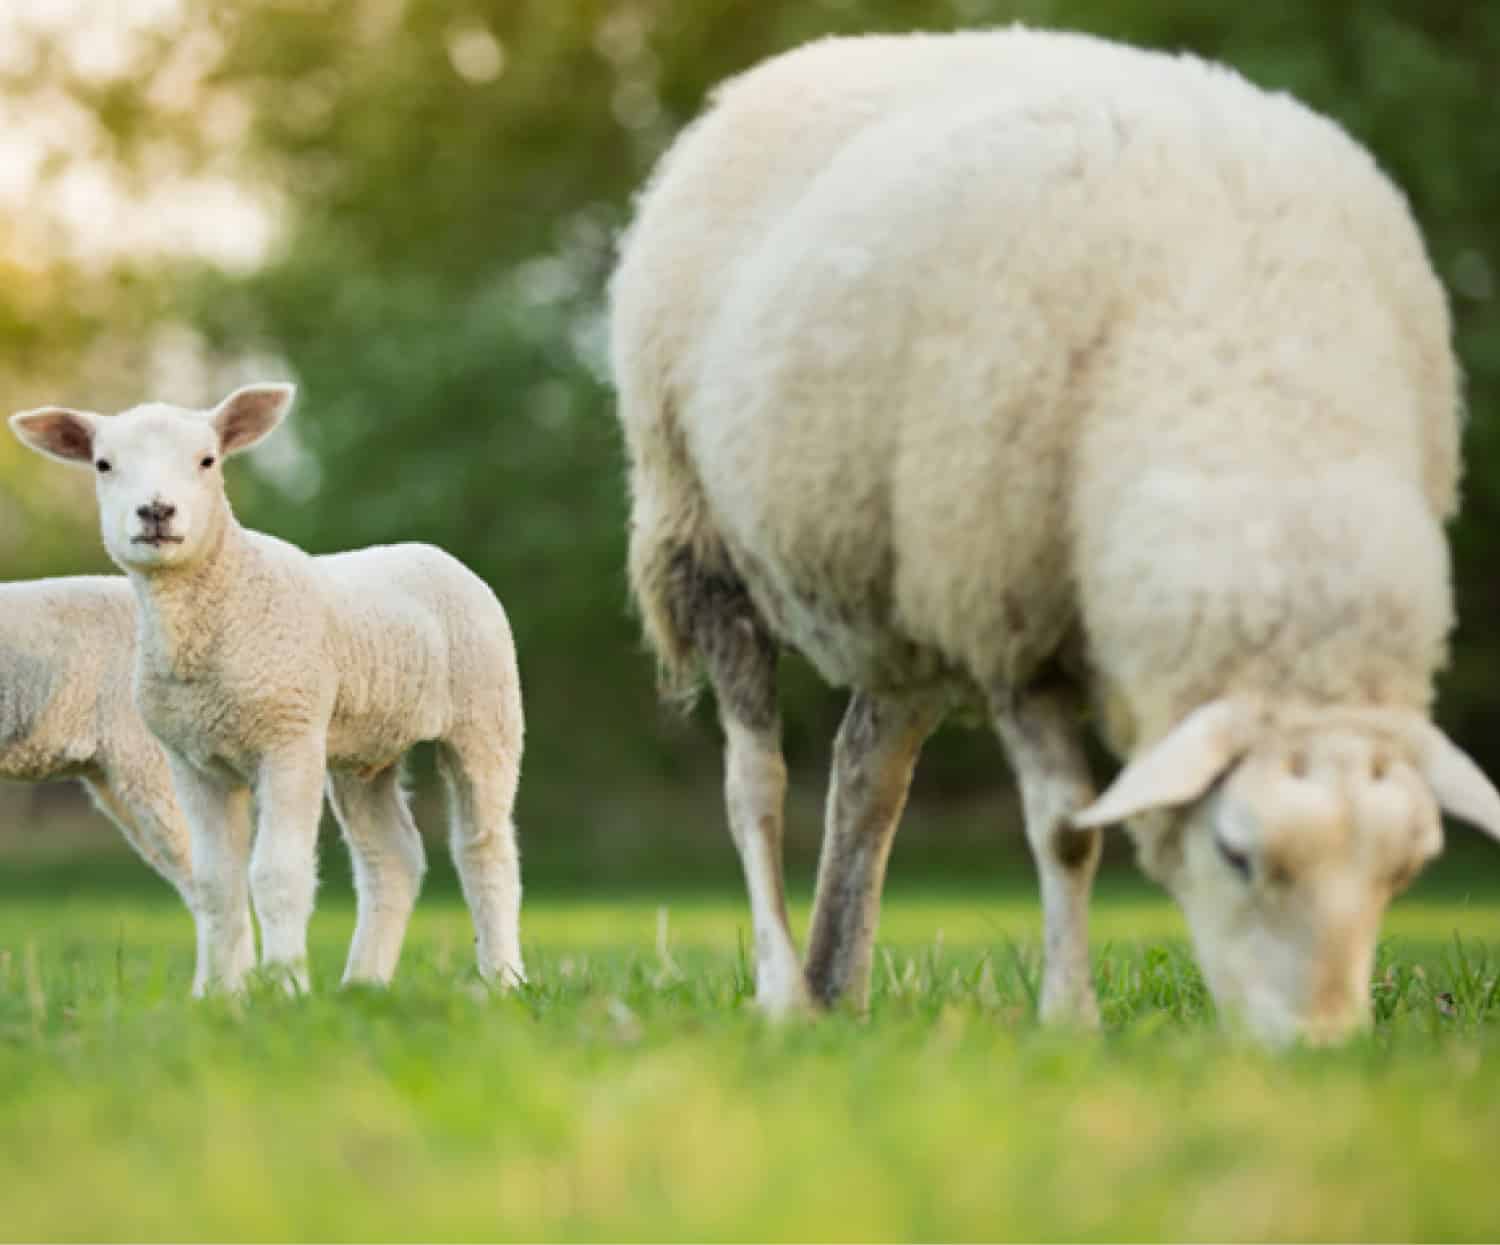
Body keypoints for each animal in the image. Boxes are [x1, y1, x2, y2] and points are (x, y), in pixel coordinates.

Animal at [10, 384, 528, 1002]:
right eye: (103, 465)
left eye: (207, 460)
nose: (156, 512)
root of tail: (431, 550)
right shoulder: (192, 760)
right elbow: (215, 883)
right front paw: (220, 997)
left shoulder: (288, 739)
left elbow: (277, 874)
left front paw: (285, 990)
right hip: (364, 750)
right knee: (392, 858)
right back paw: (363, 984)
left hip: (486, 711)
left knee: (485, 849)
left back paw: (504, 979)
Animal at [609, 29, 1500, 1044]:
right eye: (1237, 853)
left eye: (1405, 869)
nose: (1319, 1050)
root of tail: (784, 69)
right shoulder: (1011, 617)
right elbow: (1067, 831)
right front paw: (1070, 1018)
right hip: (702, 534)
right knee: (756, 781)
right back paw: (785, 992)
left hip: (905, 581)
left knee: (866, 774)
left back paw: (842, 985)